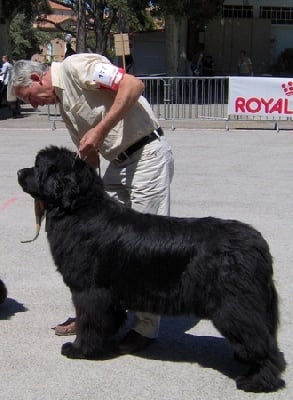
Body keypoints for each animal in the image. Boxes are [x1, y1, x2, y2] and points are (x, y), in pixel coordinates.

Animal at [17, 146, 284, 390]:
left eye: (38, 166)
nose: (19, 172)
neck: (79, 209)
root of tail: (258, 243)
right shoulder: (108, 294)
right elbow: (108, 318)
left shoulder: (89, 291)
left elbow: (89, 321)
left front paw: (80, 349)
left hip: (234, 305)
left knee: (263, 344)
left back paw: (257, 381)